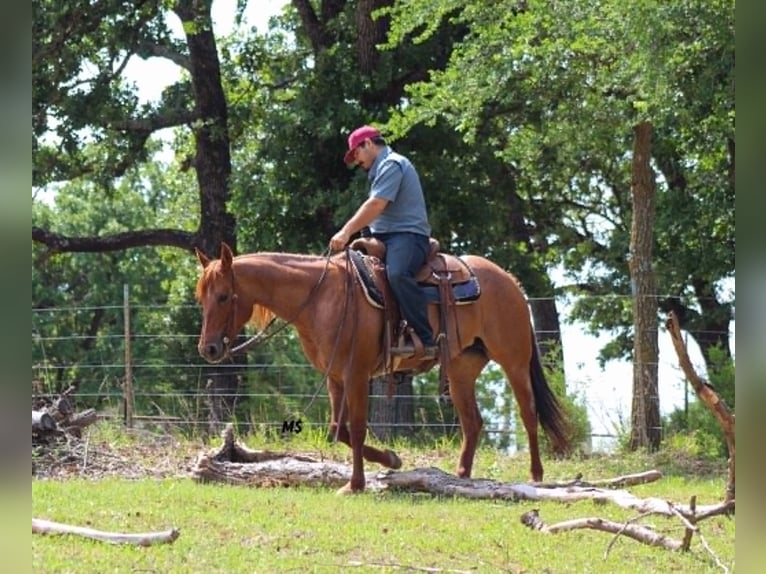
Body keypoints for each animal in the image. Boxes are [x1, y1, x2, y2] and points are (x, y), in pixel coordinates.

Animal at [194, 243, 570, 494]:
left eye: (224, 296)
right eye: (202, 298)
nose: (208, 348)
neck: (320, 297)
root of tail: (510, 281)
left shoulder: (357, 374)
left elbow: (359, 428)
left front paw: (355, 484)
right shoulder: (335, 378)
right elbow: (339, 430)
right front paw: (391, 460)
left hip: (514, 362)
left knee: (528, 413)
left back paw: (536, 476)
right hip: (461, 368)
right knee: (473, 423)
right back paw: (461, 477)